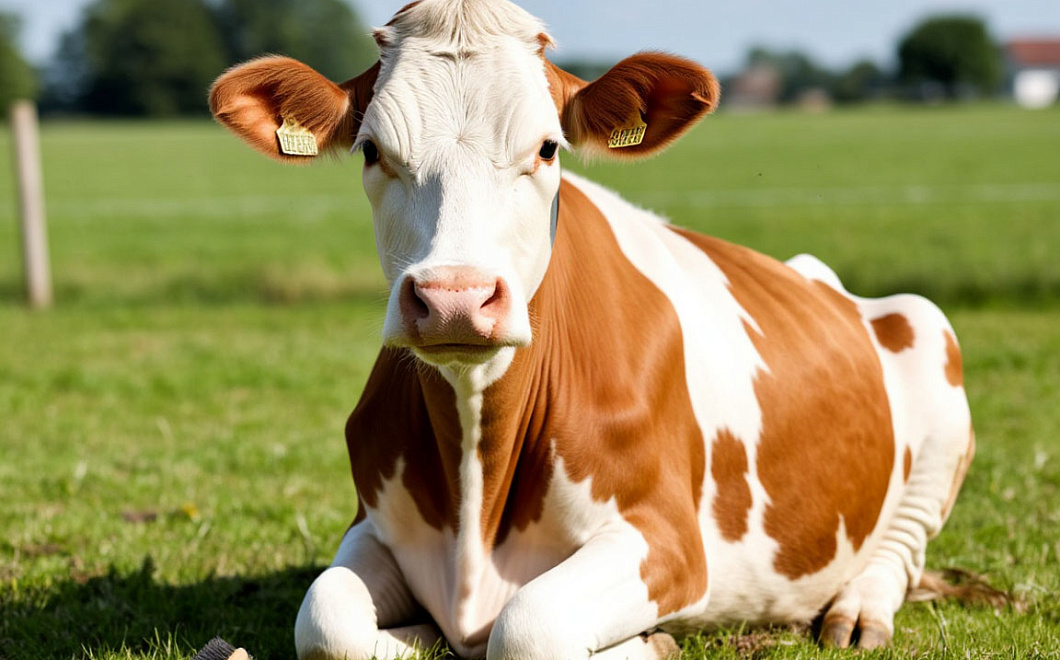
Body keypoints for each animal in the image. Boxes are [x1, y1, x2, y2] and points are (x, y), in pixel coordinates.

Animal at [209, 1, 975, 658]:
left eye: (549, 148)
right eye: (372, 150)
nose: (455, 298)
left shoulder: (668, 540)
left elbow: (529, 627)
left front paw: (646, 643)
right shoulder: (372, 523)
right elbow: (327, 622)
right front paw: (420, 633)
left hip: (933, 350)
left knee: (899, 549)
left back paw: (857, 614)